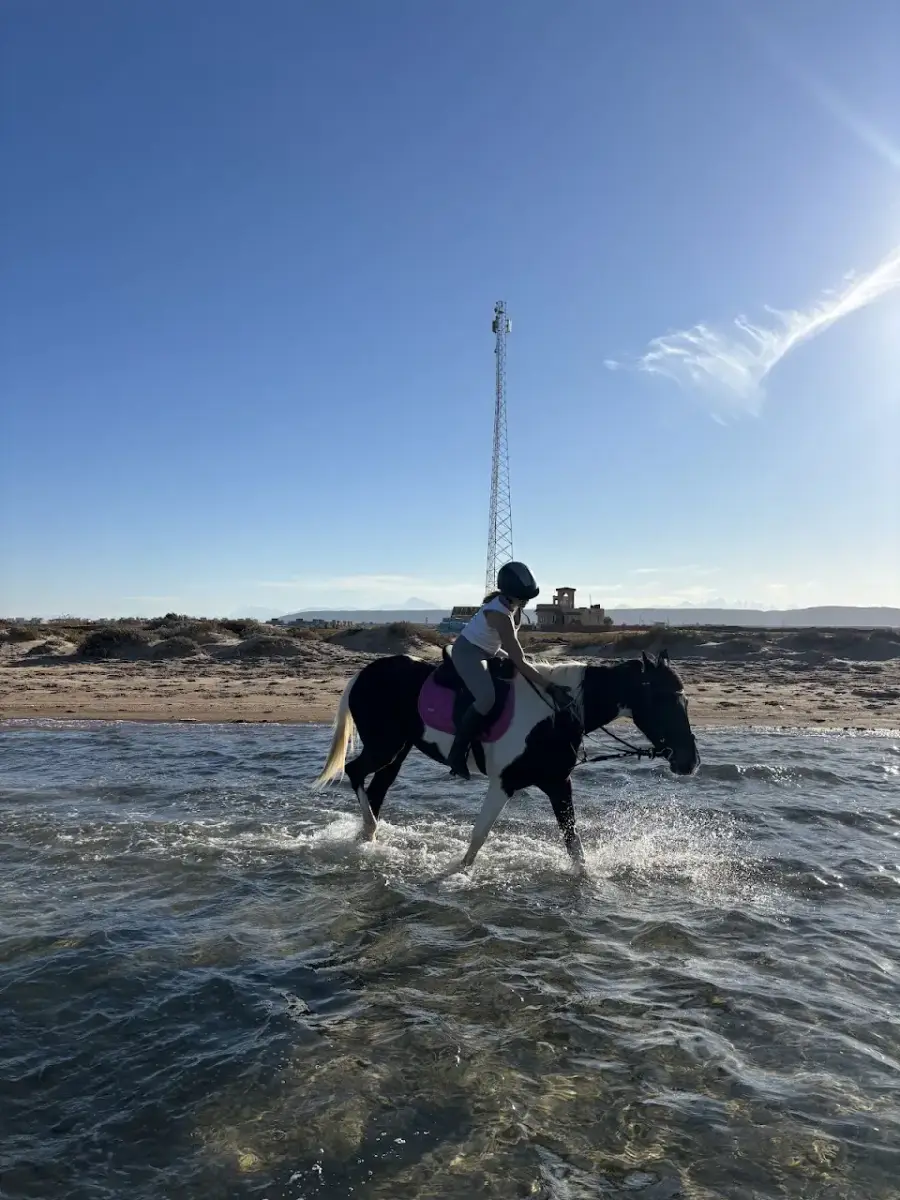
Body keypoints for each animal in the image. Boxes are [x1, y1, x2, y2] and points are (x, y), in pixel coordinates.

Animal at [314, 649, 700, 871]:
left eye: (685, 700)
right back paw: (369, 831)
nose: (690, 762)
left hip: (397, 751)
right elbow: (477, 840)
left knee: (376, 788)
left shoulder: (558, 783)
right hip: (386, 746)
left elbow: (575, 848)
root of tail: (363, 674)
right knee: (355, 772)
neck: (558, 712)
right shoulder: (504, 783)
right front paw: (457, 874)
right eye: (664, 699)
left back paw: (368, 838)